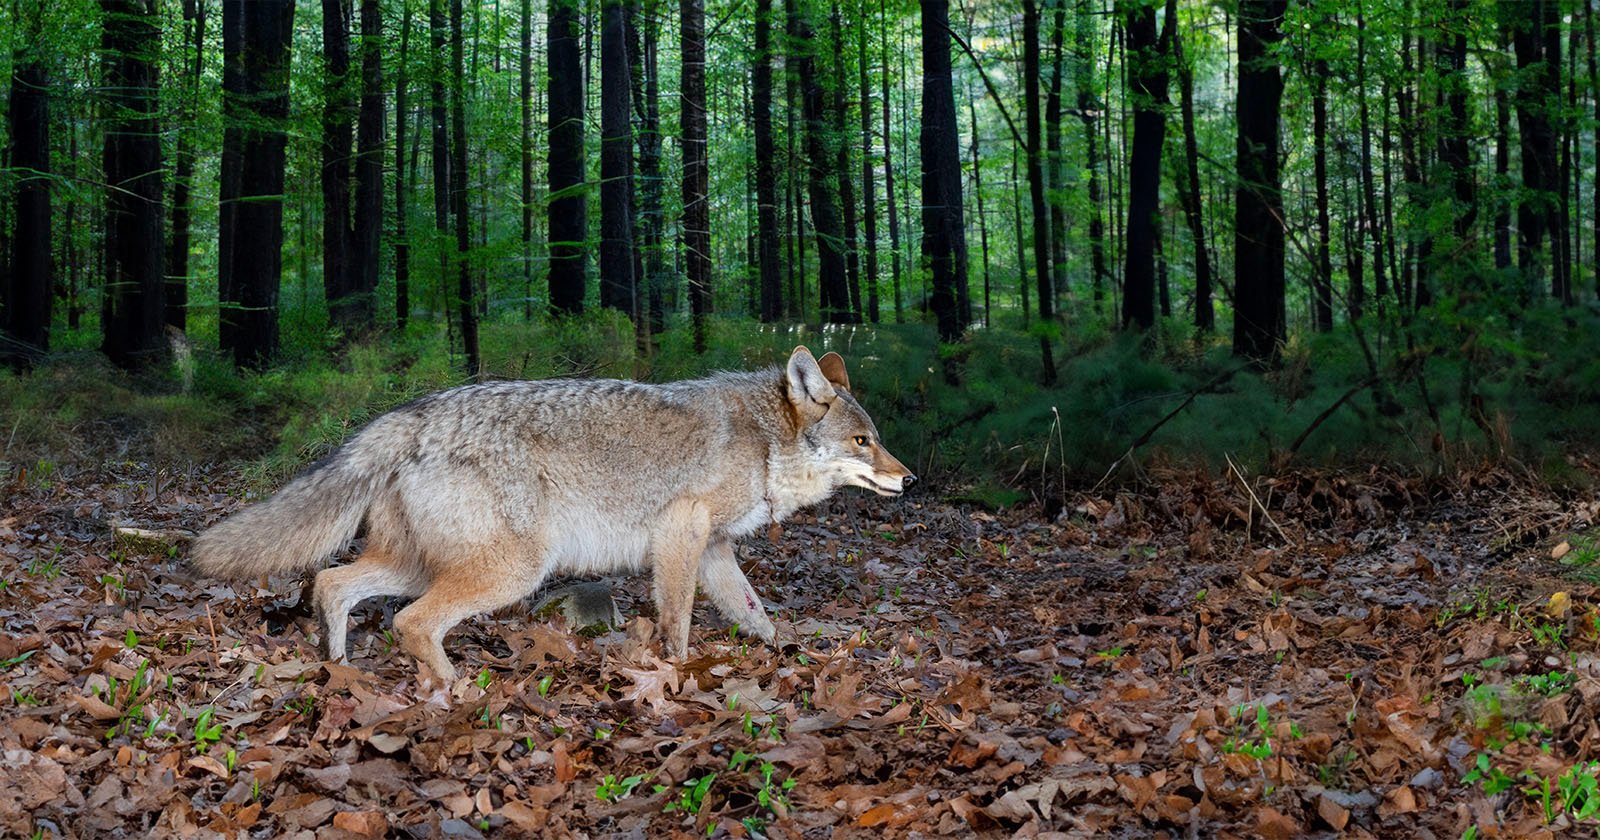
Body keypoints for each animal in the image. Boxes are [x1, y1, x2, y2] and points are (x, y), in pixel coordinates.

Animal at [190, 347, 915, 681]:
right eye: (862, 441)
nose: (908, 478)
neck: (763, 441)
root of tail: (412, 413)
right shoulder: (681, 536)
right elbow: (678, 626)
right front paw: (679, 678)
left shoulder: (713, 552)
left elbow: (757, 617)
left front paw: (789, 656)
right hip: (509, 573)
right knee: (410, 623)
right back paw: (457, 692)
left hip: (418, 566)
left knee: (331, 584)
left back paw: (339, 671)